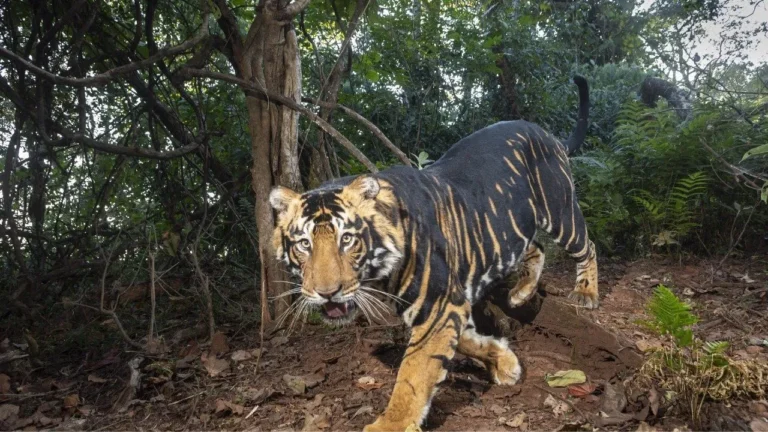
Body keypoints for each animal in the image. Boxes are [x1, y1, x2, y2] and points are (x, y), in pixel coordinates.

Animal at [268, 76, 597, 431]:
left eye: (347, 239)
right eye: (304, 244)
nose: (327, 293)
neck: (379, 278)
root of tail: (545, 132)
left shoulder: (439, 305)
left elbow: (413, 374)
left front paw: (391, 424)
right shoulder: (445, 305)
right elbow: (464, 340)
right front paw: (504, 361)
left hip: (560, 210)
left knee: (587, 246)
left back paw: (586, 293)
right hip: (515, 225)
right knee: (534, 246)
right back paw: (521, 292)